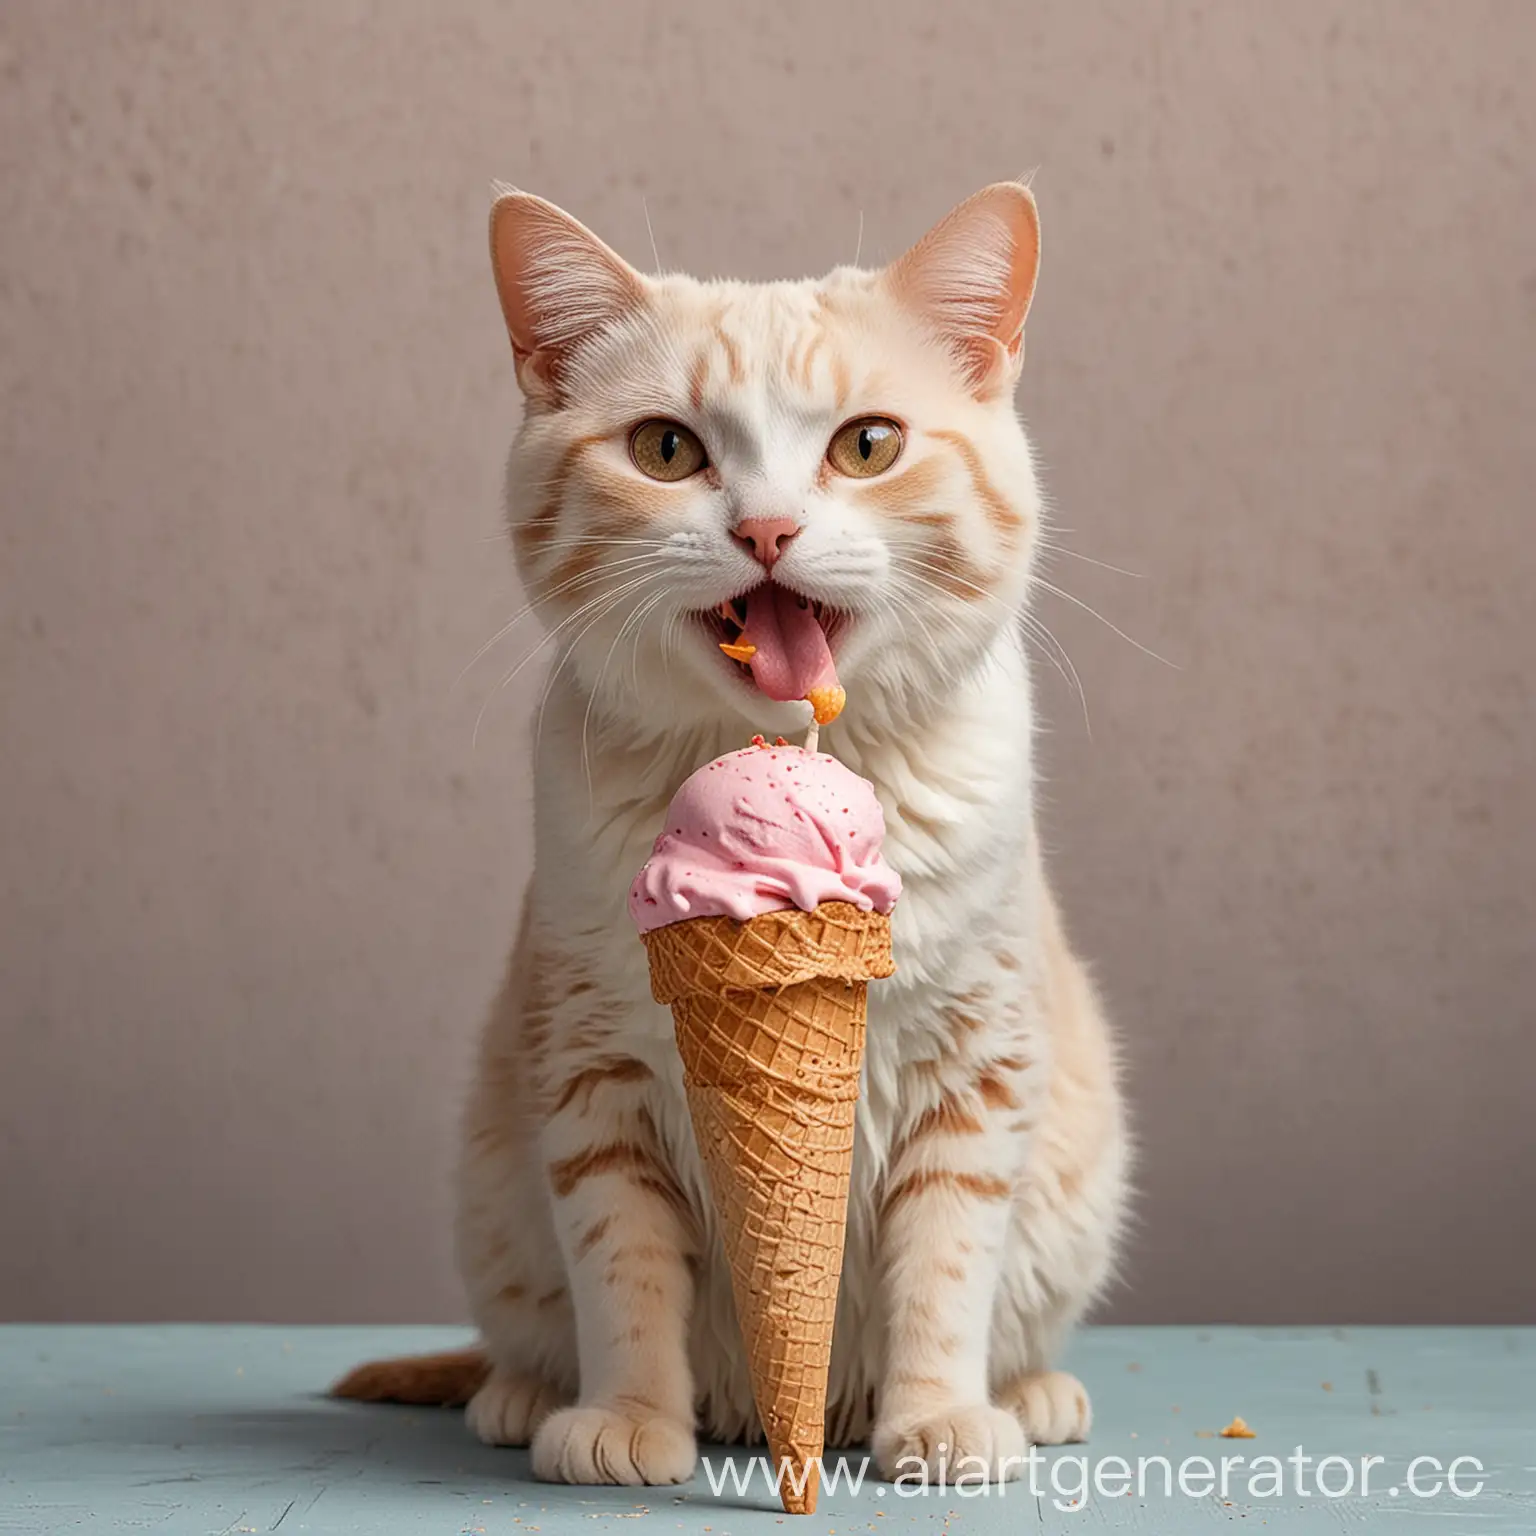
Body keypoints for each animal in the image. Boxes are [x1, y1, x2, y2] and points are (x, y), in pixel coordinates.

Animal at [336, 179, 1130, 1486]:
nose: (764, 530)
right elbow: (624, 1267)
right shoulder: (590, 1068)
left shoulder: (978, 1066)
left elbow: (946, 1263)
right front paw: (628, 1420)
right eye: (667, 449)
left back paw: (1030, 1393)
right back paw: (520, 1393)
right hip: (494, 1197)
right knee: (528, 1324)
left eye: (868, 445)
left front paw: (938, 1419)